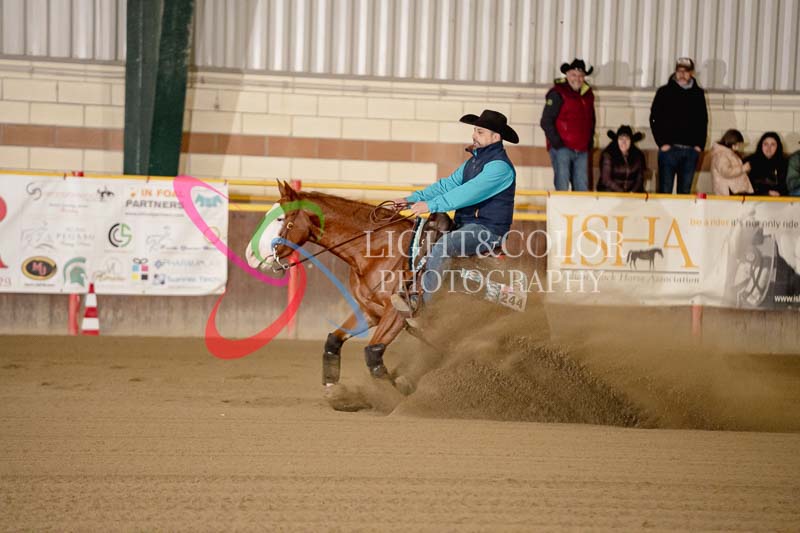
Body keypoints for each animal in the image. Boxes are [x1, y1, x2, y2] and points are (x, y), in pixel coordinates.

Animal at [248, 181, 416, 388]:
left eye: (280, 218)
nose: (250, 255)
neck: (380, 251)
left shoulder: (396, 313)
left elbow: (372, 354)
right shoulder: (371, 310)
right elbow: (333, 341)